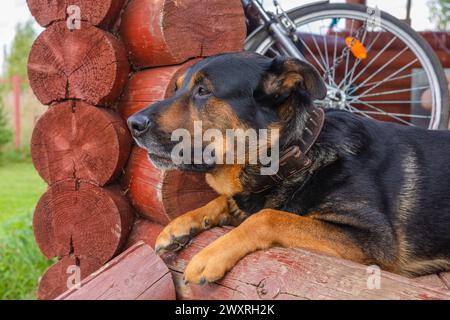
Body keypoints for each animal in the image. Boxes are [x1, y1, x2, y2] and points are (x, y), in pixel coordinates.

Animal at [126, 51, 450, 284]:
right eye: (177, 87)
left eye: (203, 90)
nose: (132, 124)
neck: (297, 152)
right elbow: (229, 201)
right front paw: (183, 223)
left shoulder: (373, 238)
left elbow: (268, 217)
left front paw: (211, 254)